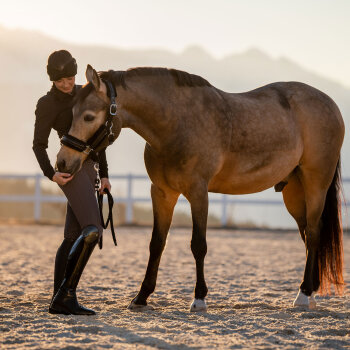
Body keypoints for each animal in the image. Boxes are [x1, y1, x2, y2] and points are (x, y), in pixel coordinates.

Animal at [56, 64, 344, 310]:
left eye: (89, 116)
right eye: (71, 113)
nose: (62, 162)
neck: (177, 123)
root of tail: (330, 104)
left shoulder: (198, 192)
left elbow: (198, 245)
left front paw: (199, 298)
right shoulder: (161, 193)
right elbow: (156, 243)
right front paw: (141, 296)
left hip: (315, 183)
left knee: (314, 233)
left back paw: (303, 295)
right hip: (293, 191)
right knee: (307, 235)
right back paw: (311, 290)